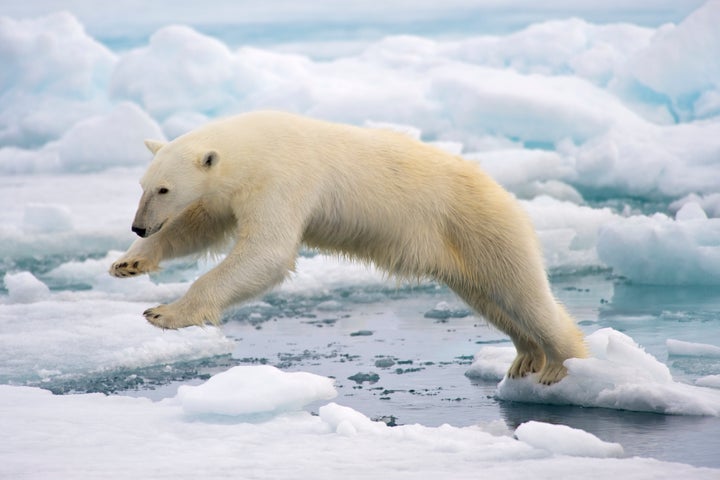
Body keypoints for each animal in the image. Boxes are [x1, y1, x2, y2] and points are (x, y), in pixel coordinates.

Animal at [111, 110, 584, 384]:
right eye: (143, 185)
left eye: (164, 188)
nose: (138, 226)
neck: (255, 145)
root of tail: (502, 192)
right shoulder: (231, 192)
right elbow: (200, 225)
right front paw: (129, 263)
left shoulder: (283, 178)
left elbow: (267, 251)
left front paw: (164, 313)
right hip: (460, 251)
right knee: (490, 299)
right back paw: (525, 357)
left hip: (480, 226)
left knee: (522, 293)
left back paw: (561, 364)